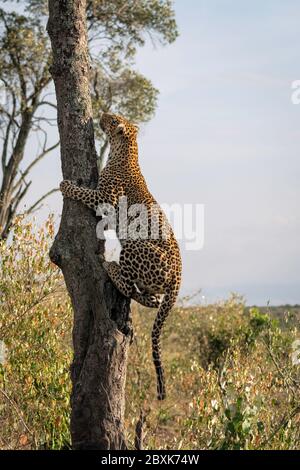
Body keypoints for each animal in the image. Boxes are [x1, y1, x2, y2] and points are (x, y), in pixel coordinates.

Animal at [58, 112, 180, 398]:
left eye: (113, 119)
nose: (101, 115)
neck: (125, 151)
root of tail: (177, 279)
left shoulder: (104, 198)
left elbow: (83, 192)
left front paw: (66, 185)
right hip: (153, 282)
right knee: (151, 299)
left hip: (135, 245)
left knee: (126, 283)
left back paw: (108, 265)